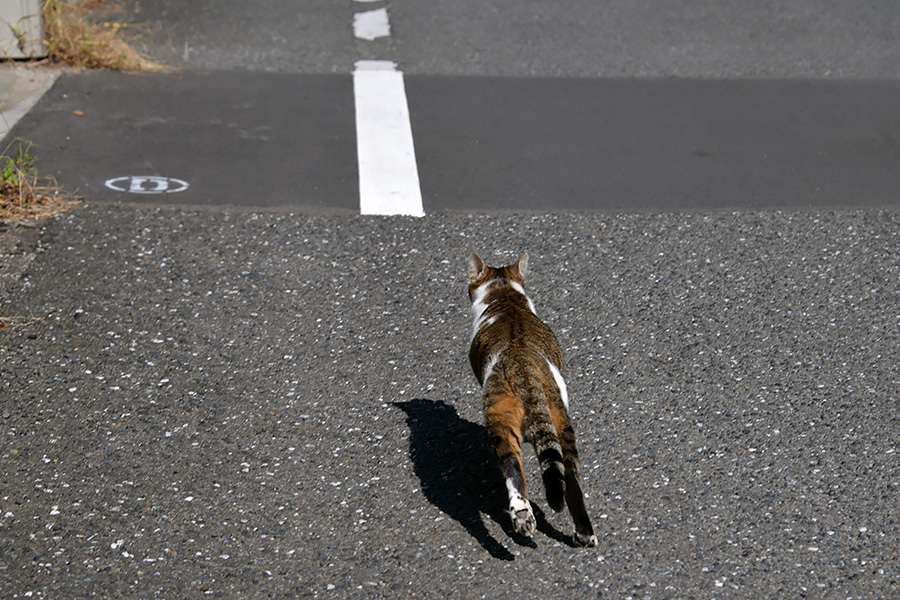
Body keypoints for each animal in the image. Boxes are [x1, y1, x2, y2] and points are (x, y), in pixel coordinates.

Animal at [464, 253, 596, 548]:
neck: (505, 297)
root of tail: (522, 368)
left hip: (499, 413)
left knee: (513, 471)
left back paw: (521, 519)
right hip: (558, 416)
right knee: (569, 476)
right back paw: (580, 533)